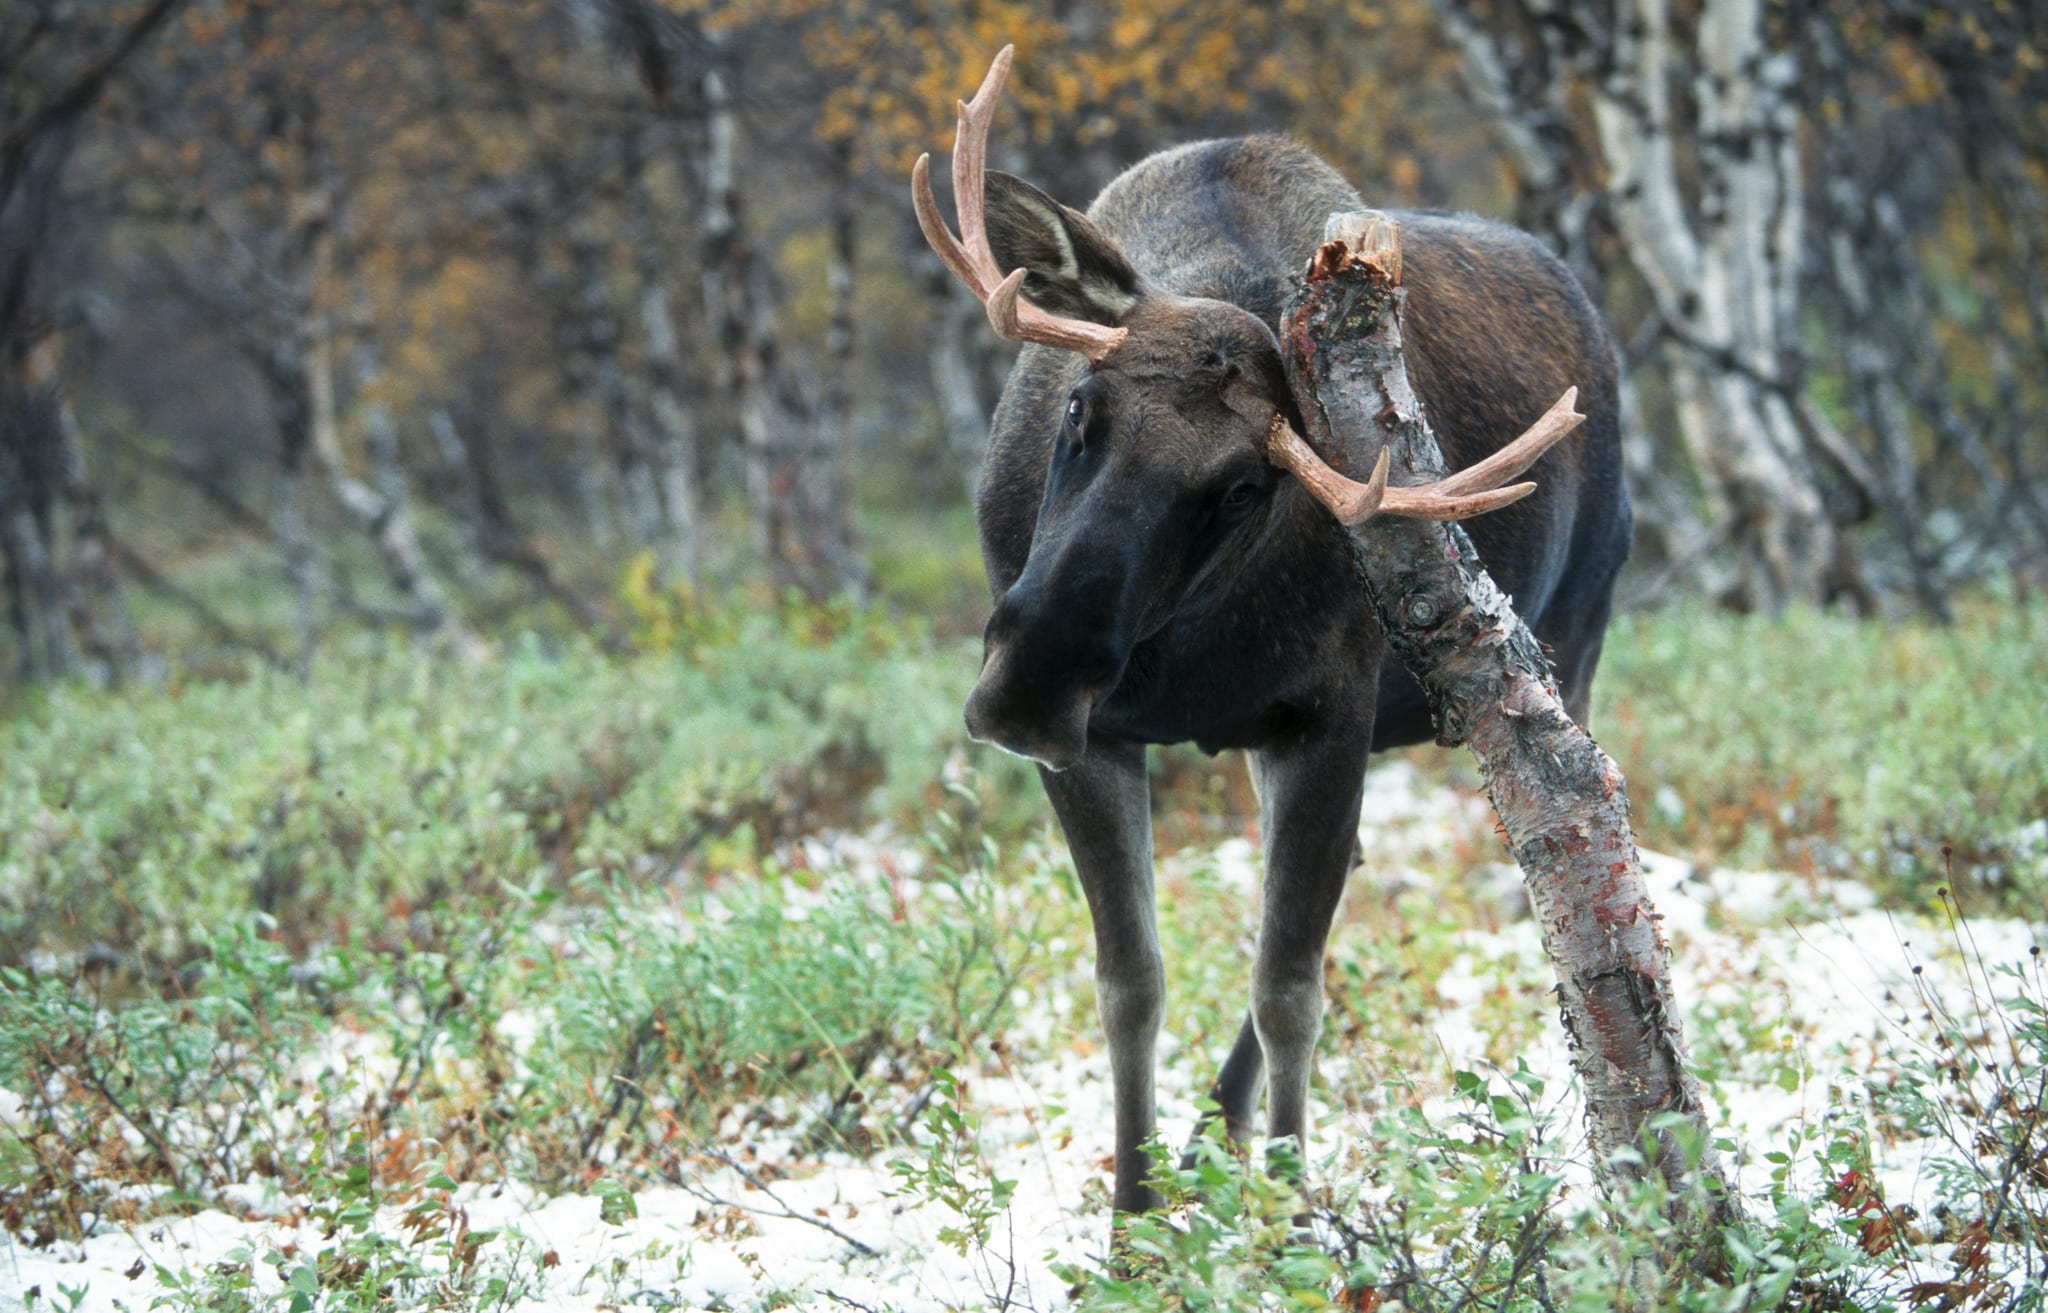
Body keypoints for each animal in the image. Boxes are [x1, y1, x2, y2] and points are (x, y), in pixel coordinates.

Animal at [913, 51, 1630, 1220]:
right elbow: (1130, 981)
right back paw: (1208, 1134)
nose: (1029, 683)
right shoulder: (1098, 743)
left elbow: (1288, 987)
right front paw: (1132, 1218)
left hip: (1578, 639)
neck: (1183, 658)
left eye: (1242, 488)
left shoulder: (1322, 720)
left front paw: (1298, 1219)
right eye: (1079, 407)